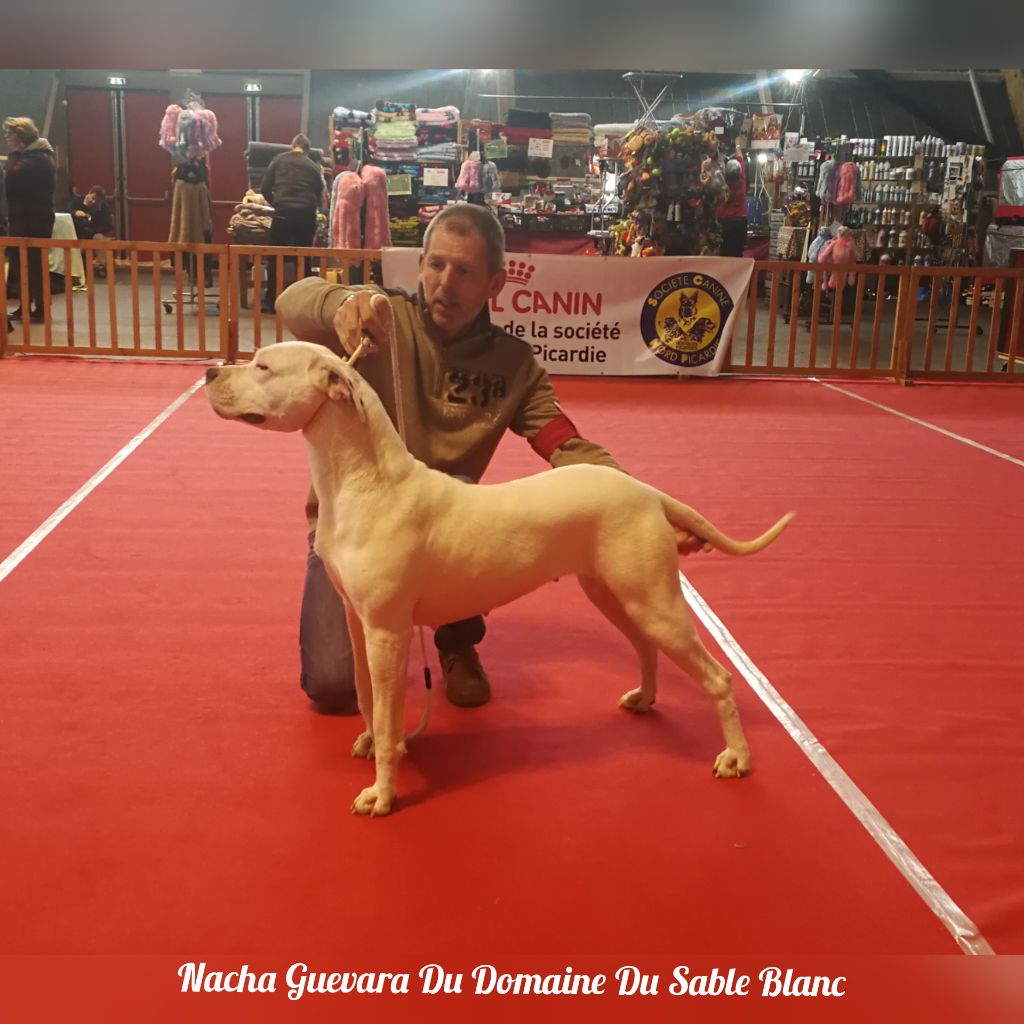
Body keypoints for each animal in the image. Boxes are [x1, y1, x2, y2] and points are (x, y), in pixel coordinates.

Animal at [201, 342, 790, 815]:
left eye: (263, 366)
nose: (209, 371)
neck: (364, 480)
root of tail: (645, 490)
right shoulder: (356, 621)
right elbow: (368, 699)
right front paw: (369, 742)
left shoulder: (387, 633)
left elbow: (391, 719)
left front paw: (383, 793)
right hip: (615, 594)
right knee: (646, 649)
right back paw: (644, 699)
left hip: (654, 601)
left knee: (718, 678)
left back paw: (736, 757)